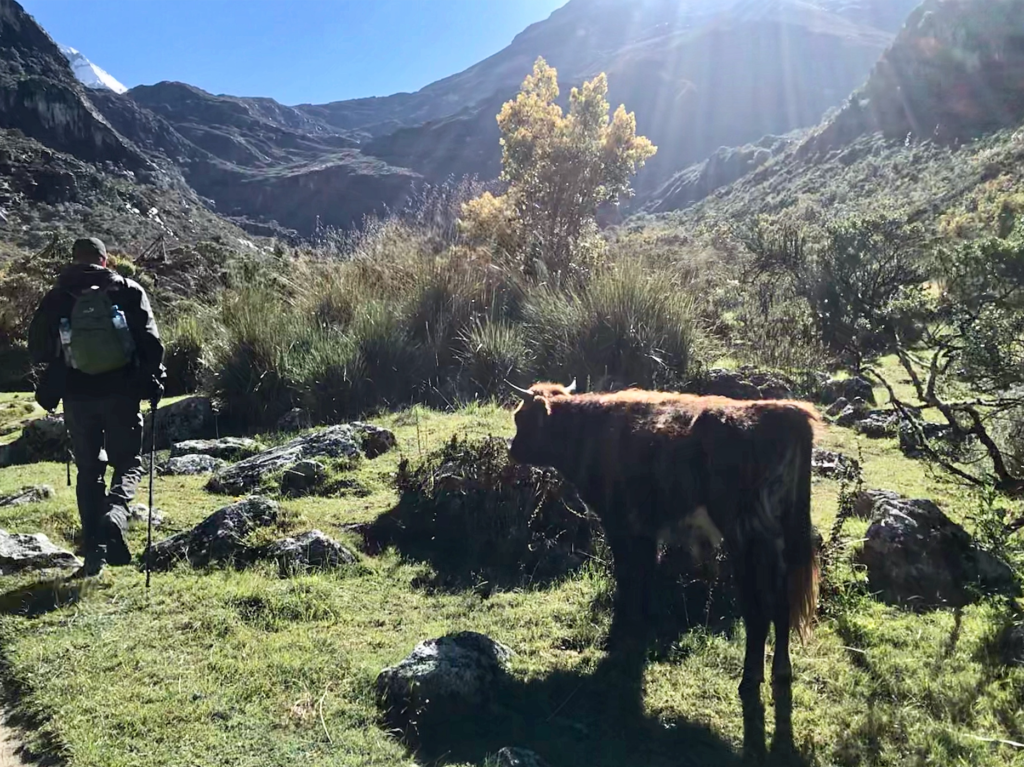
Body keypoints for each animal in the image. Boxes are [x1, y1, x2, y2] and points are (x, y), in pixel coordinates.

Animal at [507, 380, 819, 757]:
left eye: (521, 418)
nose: (511, 450)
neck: (589, 433)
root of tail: (786, 412)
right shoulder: (646, 530)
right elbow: (643, 577)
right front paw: (639, 626)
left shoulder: (621, 523)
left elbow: (628, 575)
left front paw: (620, 633)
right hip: (779, 541)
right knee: (782, 606)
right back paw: (781, 673)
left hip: (745, 535)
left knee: (758, 612)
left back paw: (749, 679)